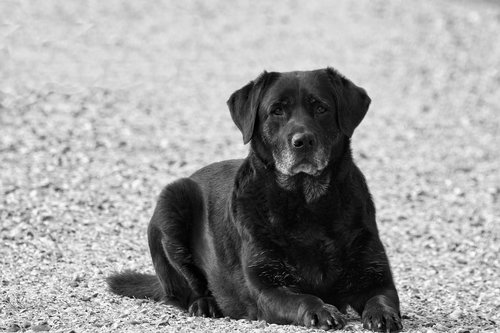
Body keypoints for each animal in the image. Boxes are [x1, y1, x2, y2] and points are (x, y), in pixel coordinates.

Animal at [108, 67, 402, 330]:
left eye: (321, 108)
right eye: (277, 110)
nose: (303, 141)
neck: (307, 202)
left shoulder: (377, 277)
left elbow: (382, 298)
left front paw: (383, 315)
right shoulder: (267, 288)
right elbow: (305, 298)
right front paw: (322, 311)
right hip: (172, 201)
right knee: (180, 290)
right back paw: (204, 303)